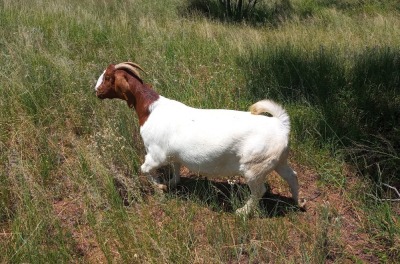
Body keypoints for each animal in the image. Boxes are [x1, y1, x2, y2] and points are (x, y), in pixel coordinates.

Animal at [95, 63, 298, 216]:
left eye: (107, 78)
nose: (96, 90)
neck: (150, 109)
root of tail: (281, 125)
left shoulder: (155, 154)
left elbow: (145, 169)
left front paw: (160, 187)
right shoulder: (172, 154)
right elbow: (176, 166)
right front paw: (171, 183)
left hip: (254, 167)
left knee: (259, 191)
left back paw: (242, 211)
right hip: (278, 161)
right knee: (292, 176)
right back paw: (297, 201)